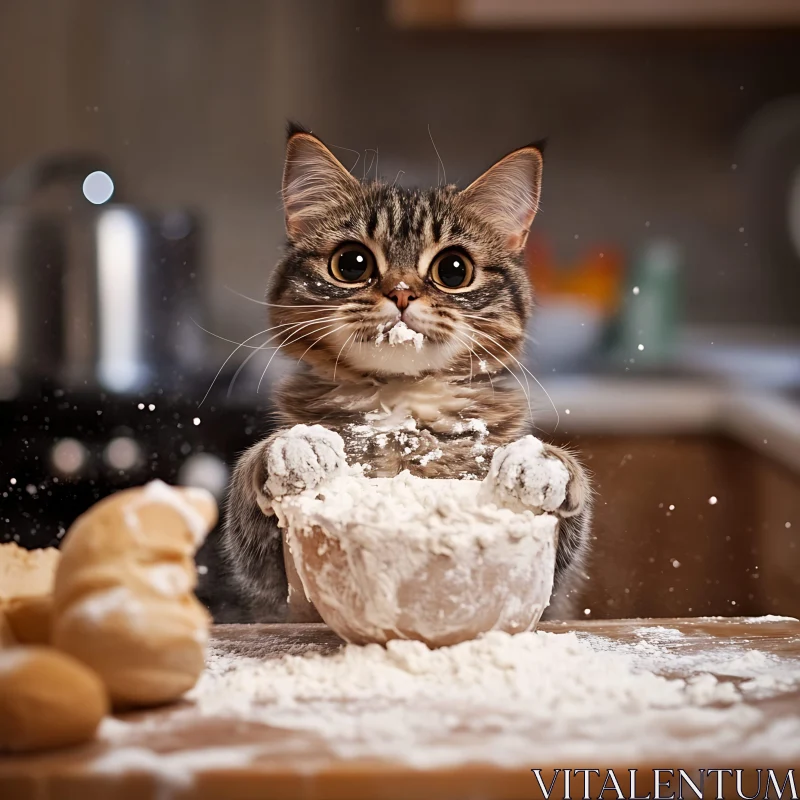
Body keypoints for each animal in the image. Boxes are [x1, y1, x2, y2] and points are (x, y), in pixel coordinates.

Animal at [222, 125, 592, 620]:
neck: (401, 410)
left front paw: (540, 463)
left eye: (453, 270)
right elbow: (248, 495)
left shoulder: (558, 586)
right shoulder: (267, 589)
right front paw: (292, 447)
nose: (400, 292)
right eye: (352, 264)